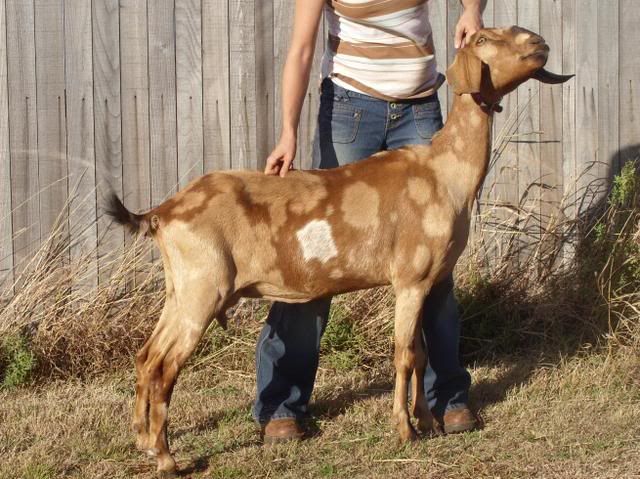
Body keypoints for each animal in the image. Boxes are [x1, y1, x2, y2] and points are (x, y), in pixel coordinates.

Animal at [107, 26, 572, 477]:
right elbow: (404, 354)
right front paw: (404, 430)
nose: (539, 42)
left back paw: (142, 440)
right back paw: (167, 459)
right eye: (483, 39)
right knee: (165, 367)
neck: (442, 171)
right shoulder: (409, 279)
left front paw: (428, 421)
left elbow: (421, 353)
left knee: (146, 357)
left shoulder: (428, 280)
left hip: (180, 289)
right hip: (203, 289)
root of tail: (163, 212)